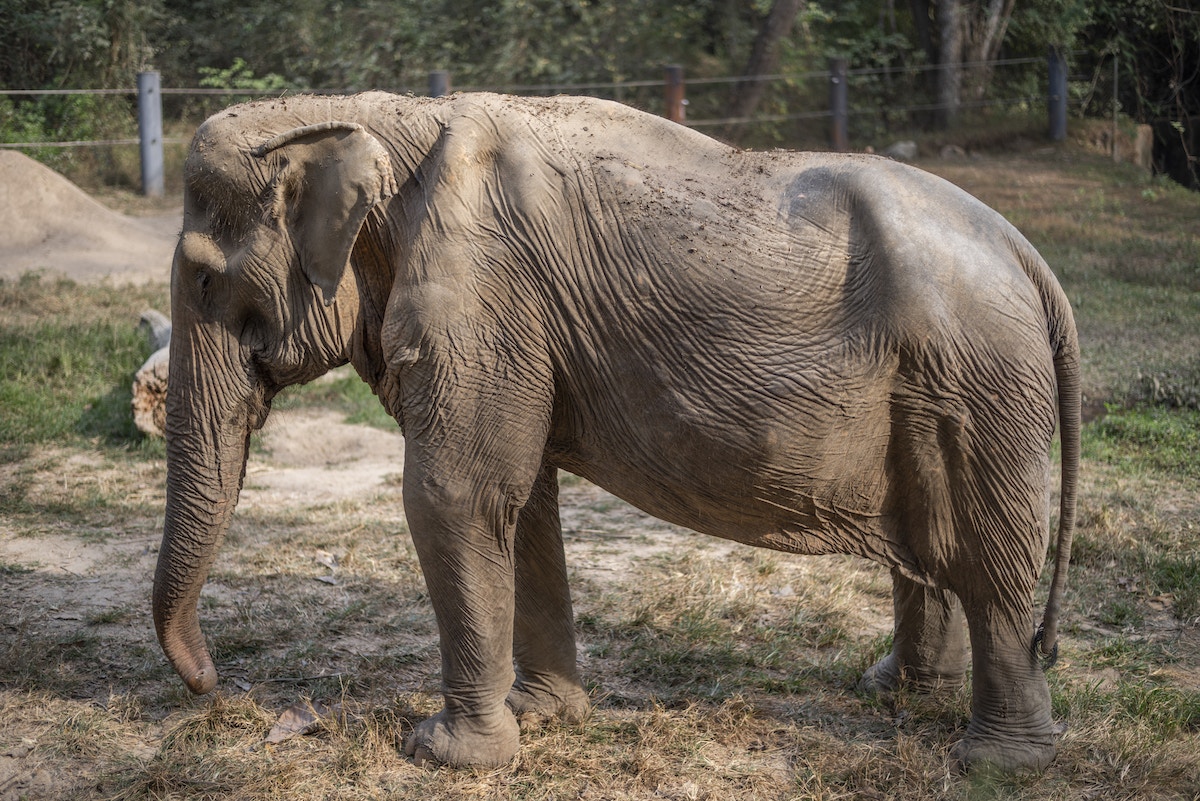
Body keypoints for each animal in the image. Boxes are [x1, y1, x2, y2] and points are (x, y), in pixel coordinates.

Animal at [154, 92, 1084, 777]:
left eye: (203, 280)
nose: (215, 686)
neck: (370, 115)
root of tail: (1033, 260)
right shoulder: (518, 324)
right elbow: (521, 502)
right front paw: (543, 715)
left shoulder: (483, 293)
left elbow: (454, 494)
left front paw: (446, 754)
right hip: (942, 387)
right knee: (934, 544)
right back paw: (896, 696)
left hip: (981, 384)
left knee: (992, 562)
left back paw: (997, 763)